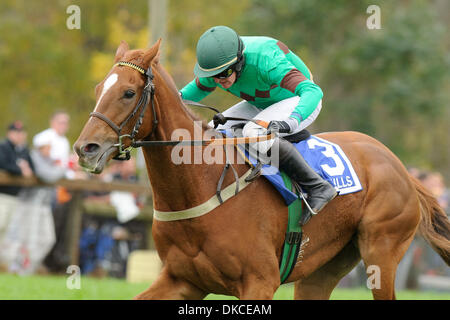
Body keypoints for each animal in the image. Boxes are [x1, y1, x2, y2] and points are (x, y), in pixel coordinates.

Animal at [74, 40, 450, 300]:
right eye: (97, 89)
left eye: (128, 92)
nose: (85, 149)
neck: (200, 183)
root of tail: (401, 167)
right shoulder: (183, 280)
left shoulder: (258, 282)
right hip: (323, 269)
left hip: (381, 253)